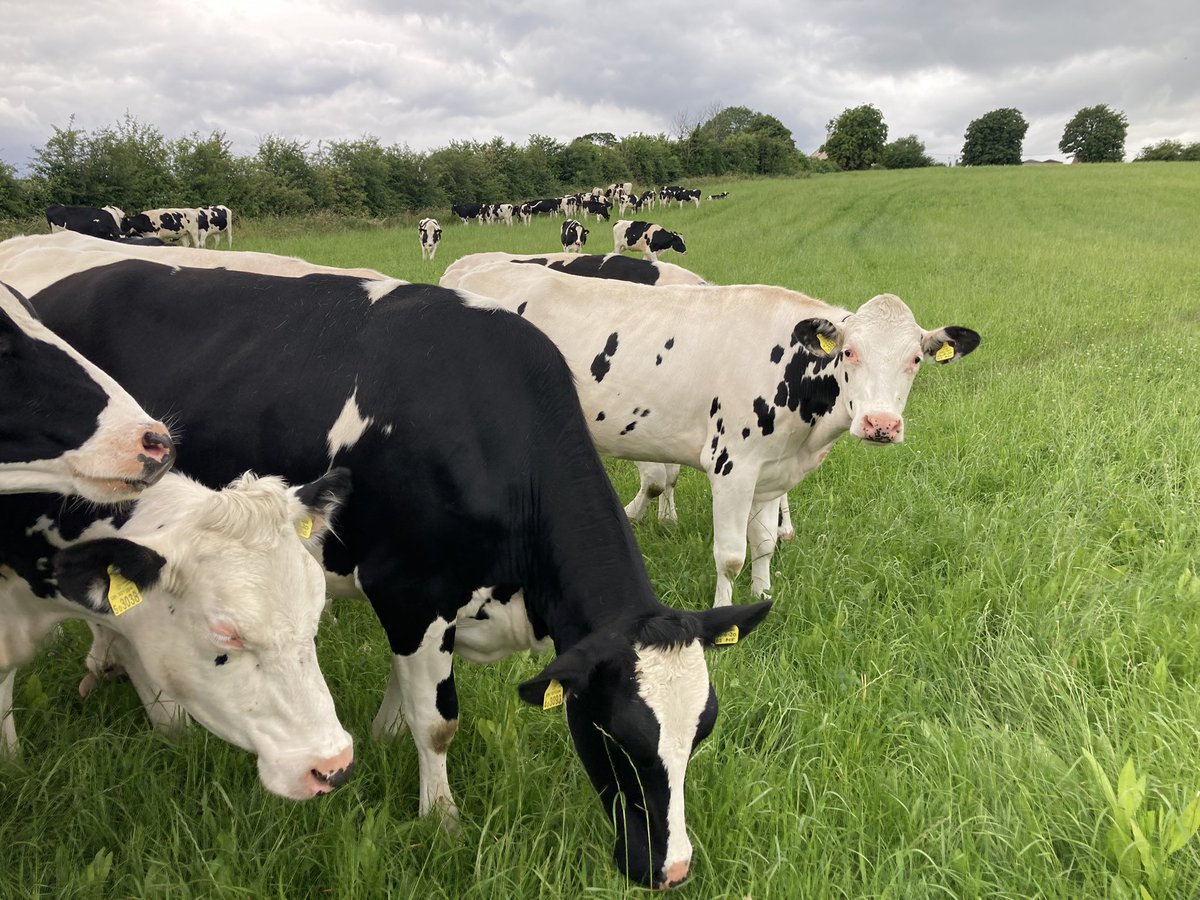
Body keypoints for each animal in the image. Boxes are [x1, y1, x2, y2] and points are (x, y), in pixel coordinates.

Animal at [436, 264, 979, 609]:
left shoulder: (770, 472)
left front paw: (763, 596)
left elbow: (763, 543)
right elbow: (730, 554)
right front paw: (727, 615)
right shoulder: (732, 465)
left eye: (915, 359)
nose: (880, 425)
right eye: (850, 353)